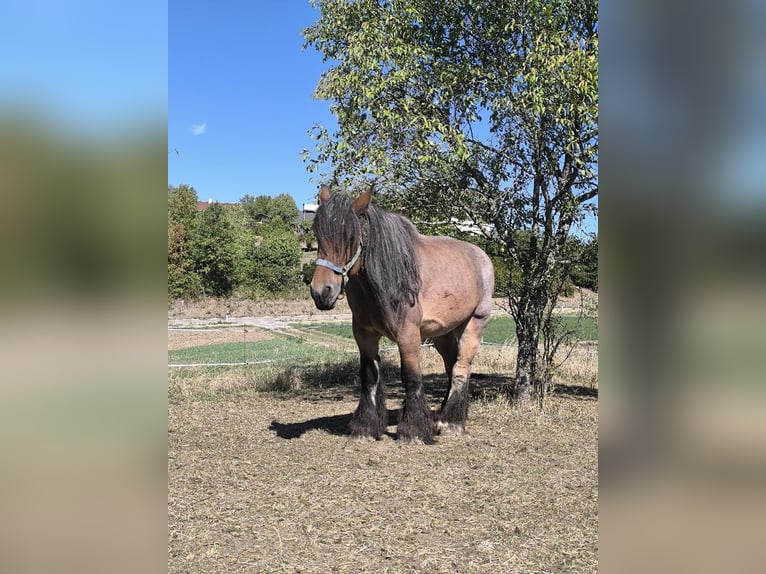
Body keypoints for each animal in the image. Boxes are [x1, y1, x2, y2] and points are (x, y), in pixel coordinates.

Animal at [309, 185, 495, 444]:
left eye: (350, 236)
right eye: (317, 233)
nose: (321, 292)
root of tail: (482, 257)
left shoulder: (408, 335)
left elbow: (412, 377)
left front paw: (413, 430)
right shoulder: (364, 335)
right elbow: (369, 377)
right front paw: (366, 427)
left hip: (475, 323)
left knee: (462, 368)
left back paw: (451, 421)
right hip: (444, 334)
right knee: (452, 366)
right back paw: (445, 415)